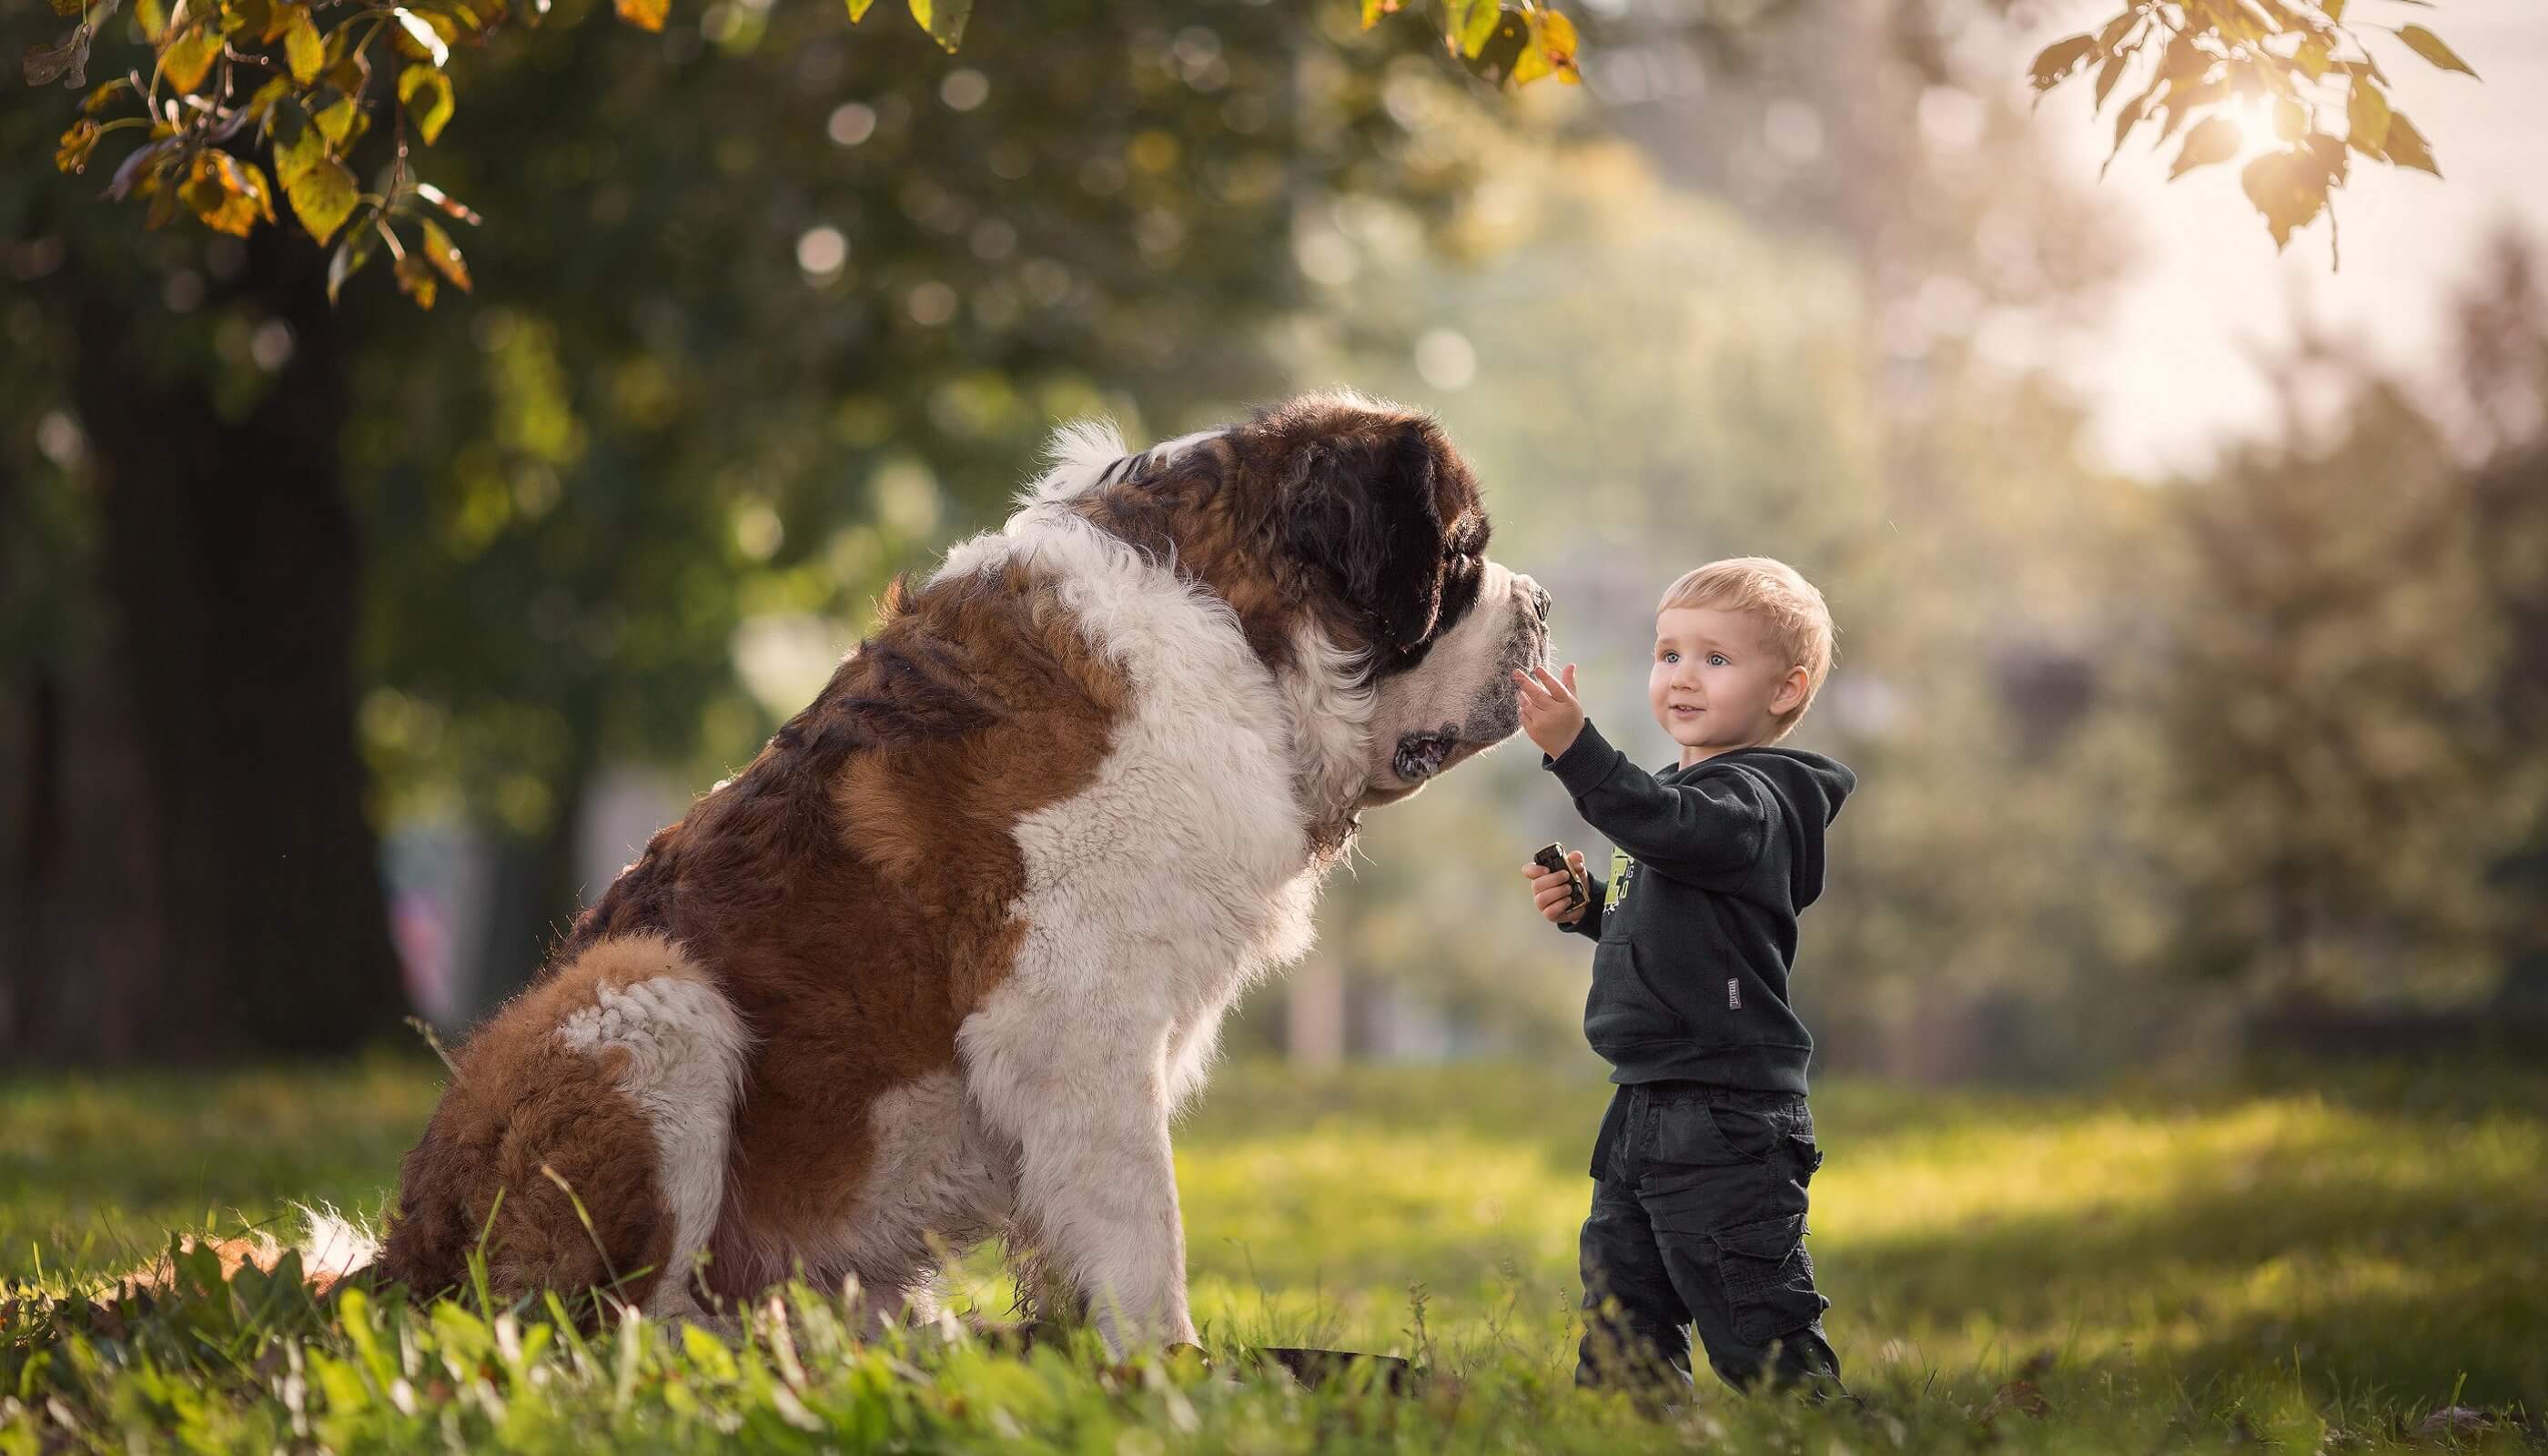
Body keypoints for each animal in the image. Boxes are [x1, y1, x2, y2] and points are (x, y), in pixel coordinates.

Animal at [377, 392, 1549, 1346]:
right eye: (1462, 559)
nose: (1540, 603)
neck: (1234, 628)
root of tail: (396, 1260)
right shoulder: (1072, 1023)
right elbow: (1142, 1226)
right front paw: (1173, 1374)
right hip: (646, 997)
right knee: (591, 1330)